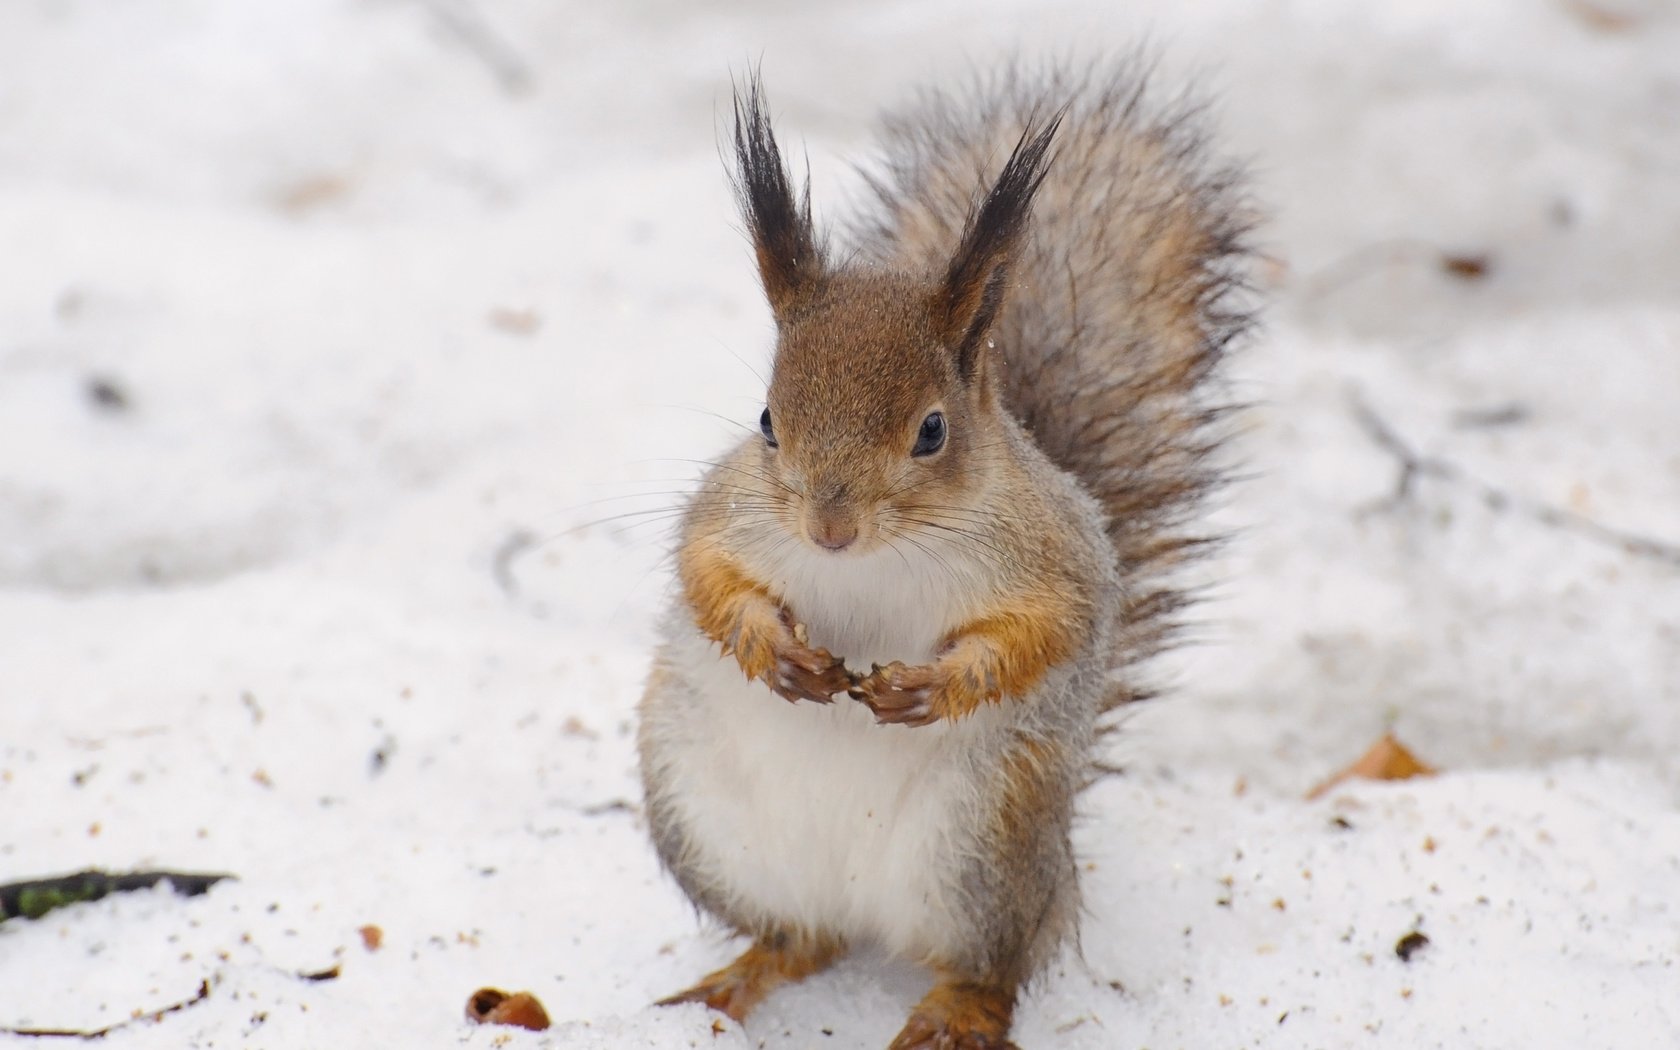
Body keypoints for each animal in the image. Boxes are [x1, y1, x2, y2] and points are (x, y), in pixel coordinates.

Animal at [635, 59, 1256, 1048]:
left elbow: (1051, 627)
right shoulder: (727, 513)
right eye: (767, 421)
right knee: (798, 938)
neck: (868, 562)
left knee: (994, 965)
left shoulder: (1055, 554)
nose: (829, 529)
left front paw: (941, 685)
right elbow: (707, 575)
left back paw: (955, 1014)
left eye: (931, 430)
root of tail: (859, 907)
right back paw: (730, 984)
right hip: (703, 821)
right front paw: (766, 644)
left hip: (985, 848)